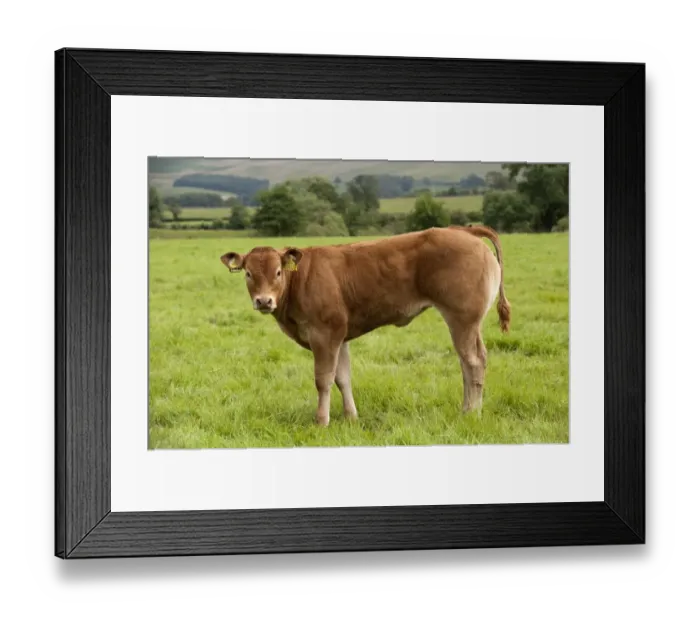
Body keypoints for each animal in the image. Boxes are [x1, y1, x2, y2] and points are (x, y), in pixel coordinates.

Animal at [220, 225, 511, 427]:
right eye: (248, 273)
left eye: (278, 272)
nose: (264, 301)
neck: (299, 281)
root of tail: (463, 230)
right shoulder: (340, 336)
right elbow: (342, 378)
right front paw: (351, 417)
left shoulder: (324, 334)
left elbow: (323, 380)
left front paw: (321, 421)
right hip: (468, 323)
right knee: (469, 362)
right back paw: (466, 409)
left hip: (462, 318)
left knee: (473, 361)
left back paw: (472, 413)